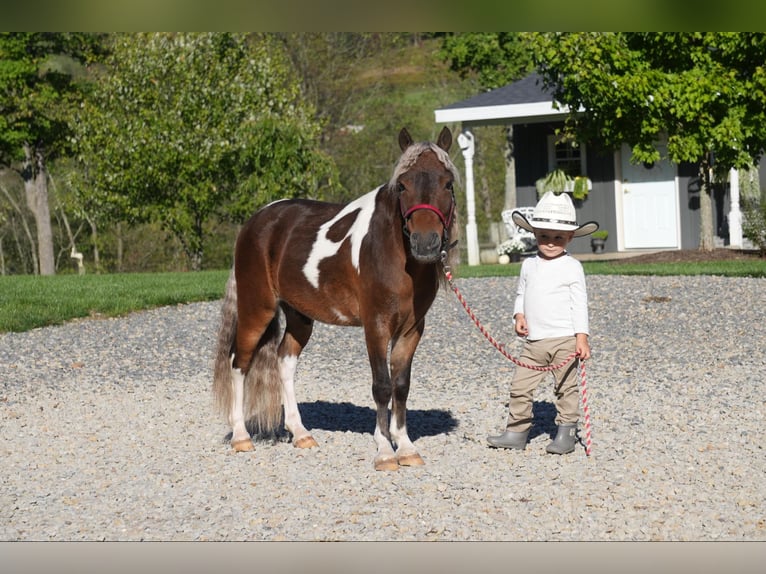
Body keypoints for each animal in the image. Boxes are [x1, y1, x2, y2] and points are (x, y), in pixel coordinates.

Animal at [213, 128, 460, 474]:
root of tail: (256, 221)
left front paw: (406, 447)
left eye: (447, 183)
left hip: (299, 316)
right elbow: (381, 385)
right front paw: (385, 451)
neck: (395, 255)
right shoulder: (375, 326)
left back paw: (301, 433)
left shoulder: (412, 330)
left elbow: (401, 385)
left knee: (284, 361)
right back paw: (240, 436)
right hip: (256, 308)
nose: (425, 243)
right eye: (403, 184)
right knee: (239, 362)